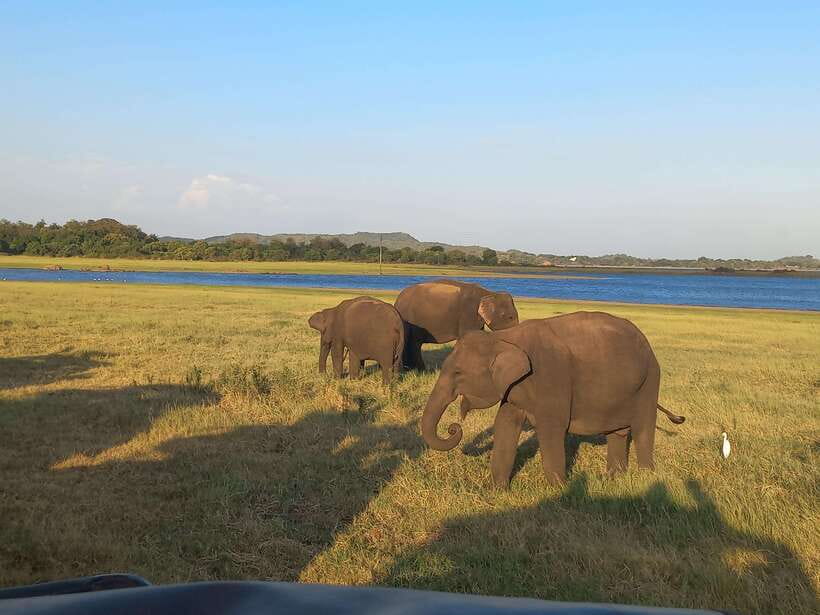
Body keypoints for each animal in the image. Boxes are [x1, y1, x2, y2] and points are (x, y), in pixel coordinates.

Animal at [420, 311, 685, 487]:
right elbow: (505, 425)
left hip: (649, 381)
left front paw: (560, 490)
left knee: (642, 428)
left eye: (458, 373)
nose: (454, 427)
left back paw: (645, 476)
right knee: (618, 433)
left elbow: (551, 430)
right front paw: (497, 491)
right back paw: (613, 478)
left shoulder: (551, 376)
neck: (506, 337)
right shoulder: (514, 387)